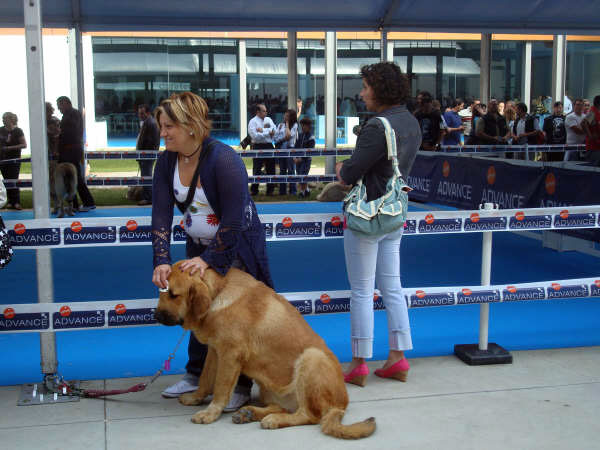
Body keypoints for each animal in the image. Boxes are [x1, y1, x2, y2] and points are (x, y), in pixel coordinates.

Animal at [156, 262, 376, 438]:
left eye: (174, 295)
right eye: (161, 292)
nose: (156, 315)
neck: (217, 292)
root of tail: (341, 405)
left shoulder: (229, 355)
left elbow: (220, 388)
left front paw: (210, 413)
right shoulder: (214, 351)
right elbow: (205, 379)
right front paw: (195, 398)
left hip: (311, 358)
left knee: (309, 416)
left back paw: (273, 420)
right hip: (267, 386)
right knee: (282, 407)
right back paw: (250, 413)